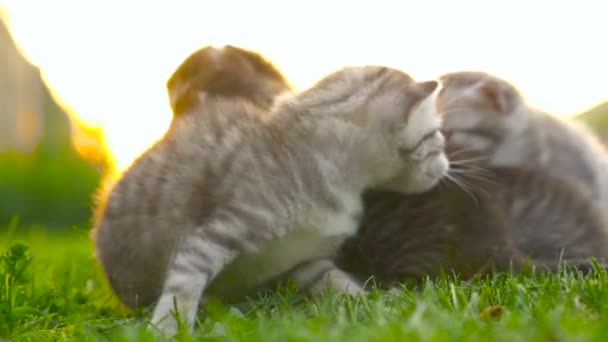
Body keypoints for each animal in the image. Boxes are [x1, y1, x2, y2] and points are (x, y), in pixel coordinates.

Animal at [92, 45, 448, 334]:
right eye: (436, 136)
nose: (447, 165)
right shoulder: (216, 232)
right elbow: (183, 284)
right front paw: (168, 328)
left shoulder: (301, 257)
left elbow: (337, 281)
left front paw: (378, 306)